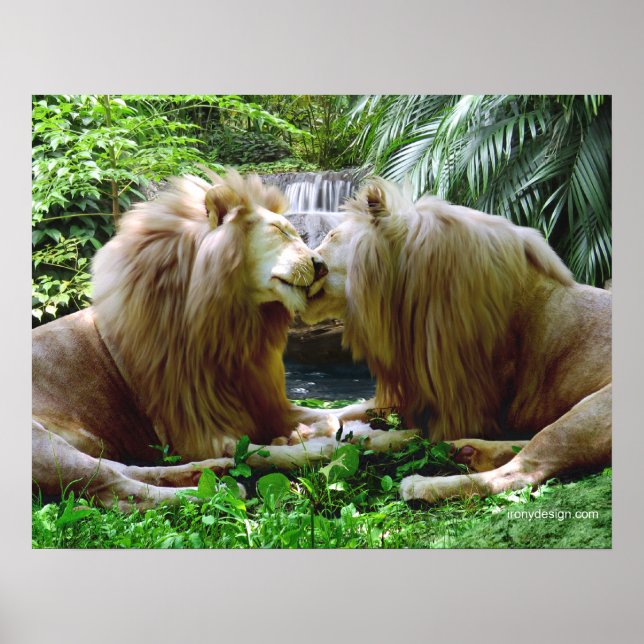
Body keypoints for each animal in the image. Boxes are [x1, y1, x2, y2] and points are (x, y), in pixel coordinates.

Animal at [33, 170, 356, 511]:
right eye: (279, 230)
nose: (321, 266)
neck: (234, 327)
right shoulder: (196, 434)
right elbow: (264, 454)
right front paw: (312, 446)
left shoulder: (261, 404)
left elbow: (330, 417)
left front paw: (309, 430)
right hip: (41, 445)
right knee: (121, 491)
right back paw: (220, 490)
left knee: (125, 471)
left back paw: (209, 471)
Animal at [302, 178, 611, 504]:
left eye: (332, 236)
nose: (308, 260)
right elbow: (348, 408)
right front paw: (308, 424)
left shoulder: (463, 398)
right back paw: (464, 449)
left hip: (591, 409)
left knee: (522, 470)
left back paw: (423, 484)